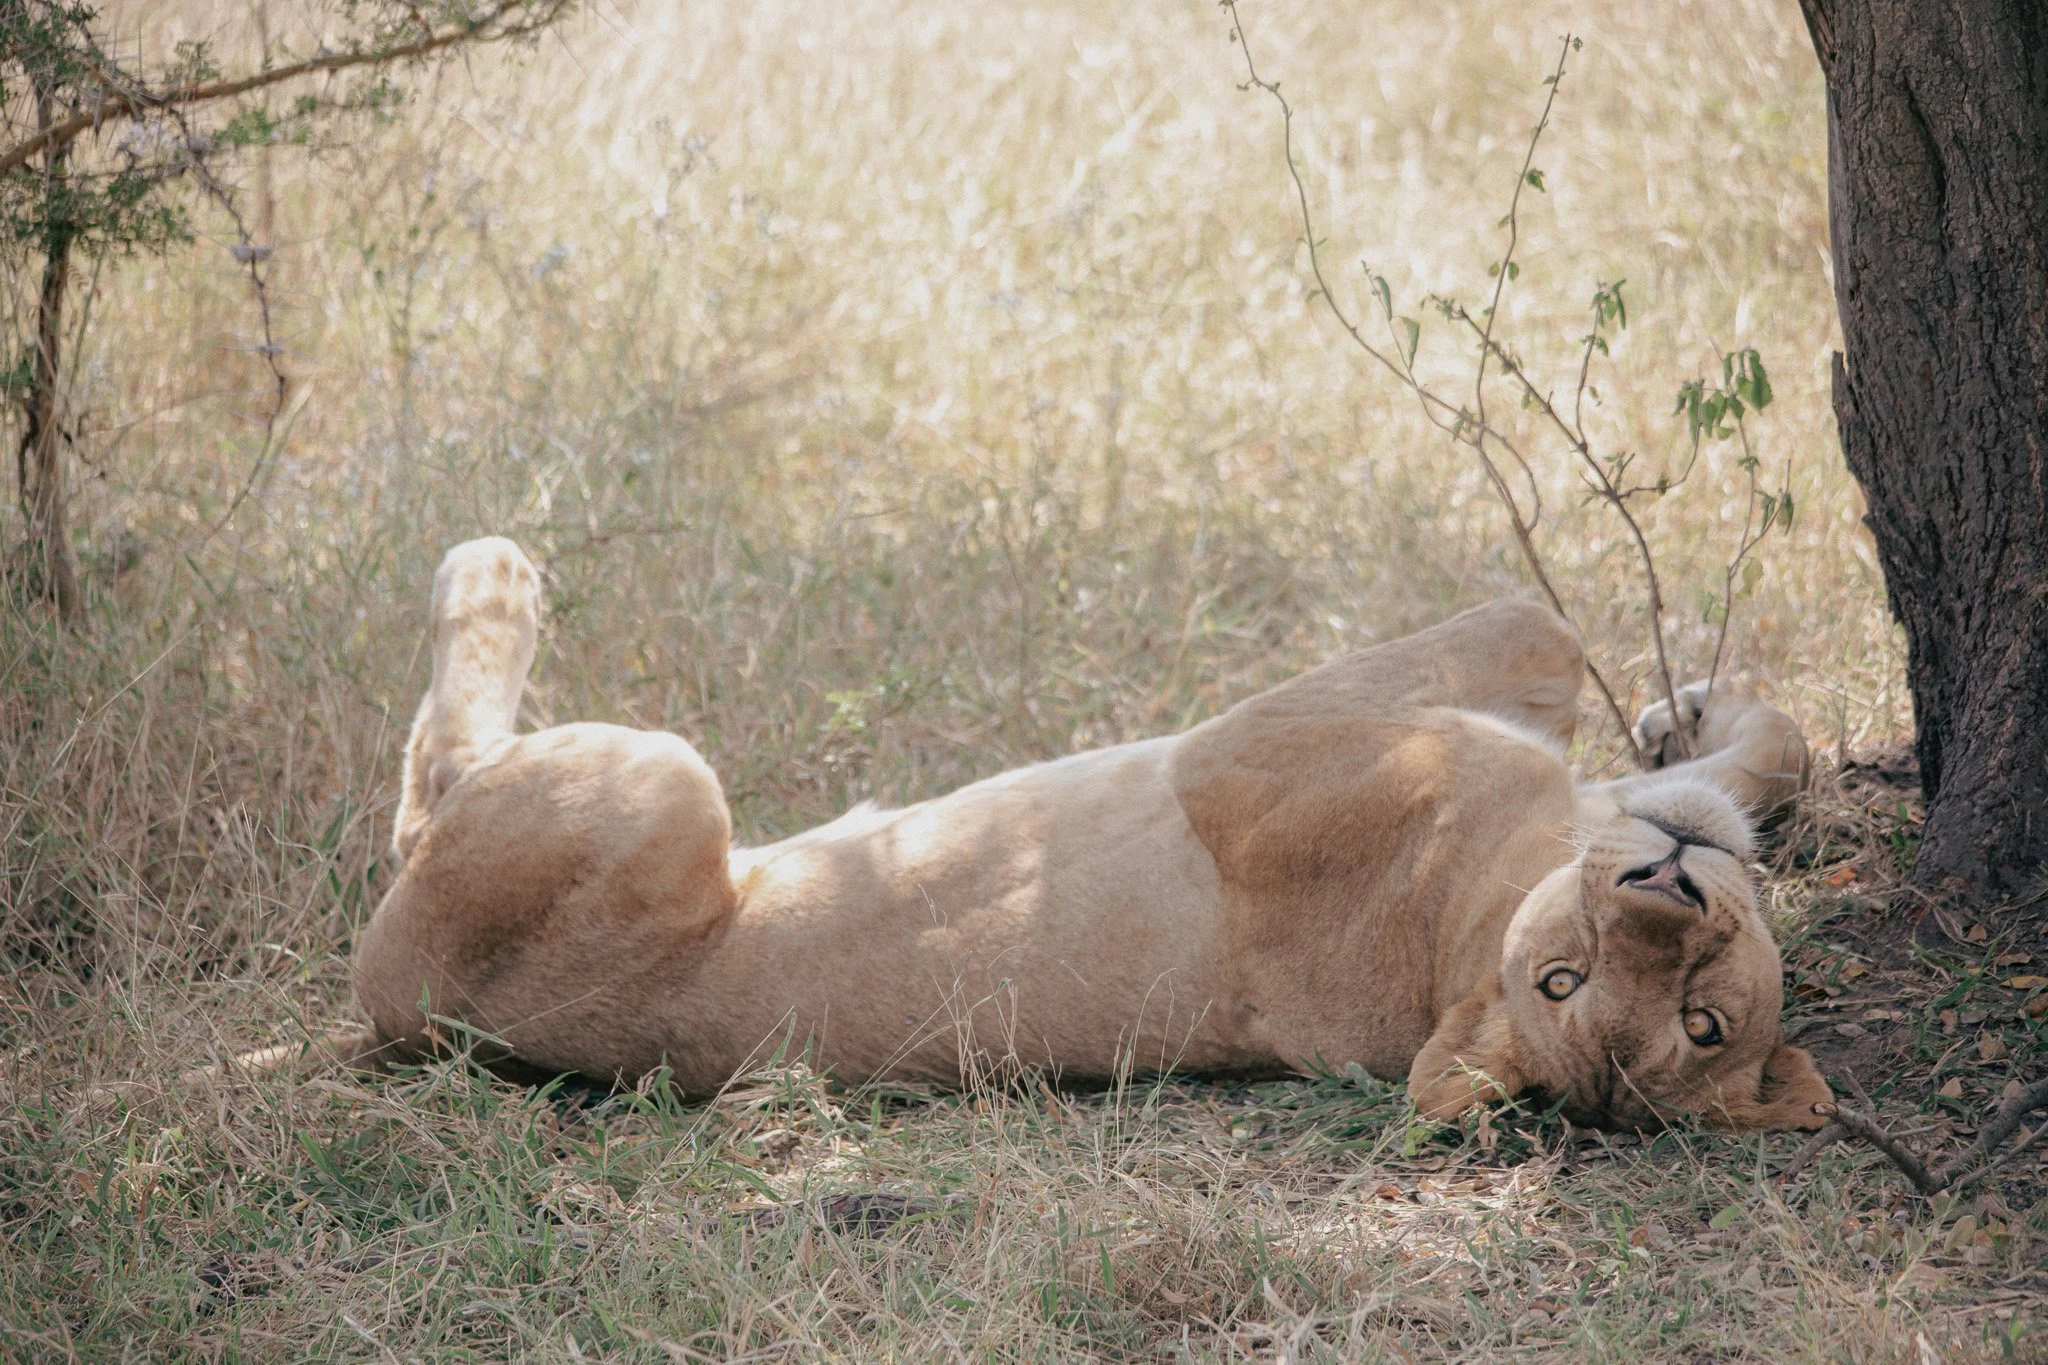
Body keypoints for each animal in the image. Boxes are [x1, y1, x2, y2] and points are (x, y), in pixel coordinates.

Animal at [234, 536, 1834, 1132]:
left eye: (1692, 1020)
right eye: (1570, 981)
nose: (1666, 890)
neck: (1479, 923)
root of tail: (392, 1023)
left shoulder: (1260, 740)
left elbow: (1544, 632)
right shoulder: (1258, 738)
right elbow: (1604, 665)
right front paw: (1693, 719)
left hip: (658, 782)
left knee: (427, 788)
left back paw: (491, 573)